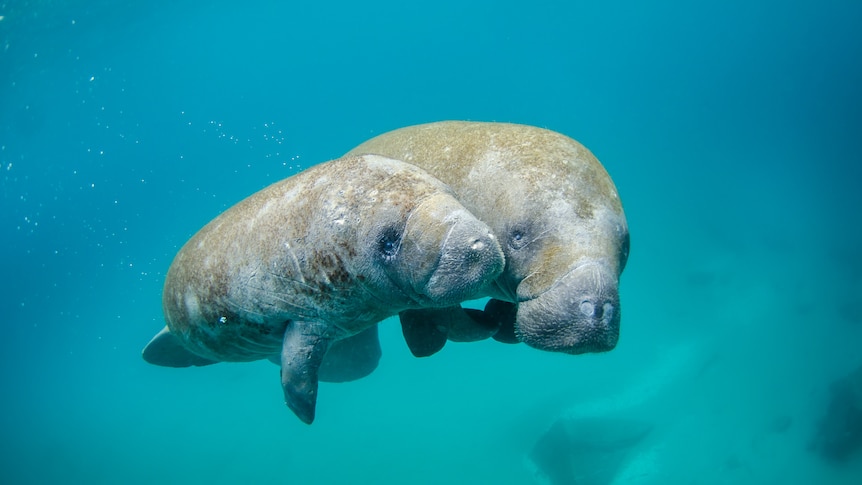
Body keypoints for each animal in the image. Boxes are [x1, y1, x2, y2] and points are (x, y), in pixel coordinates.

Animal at [142, 153, 506, 422]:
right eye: (388, 242)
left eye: (454, 195)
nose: (479, 243)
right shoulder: (306, 314)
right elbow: (298, 369)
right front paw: (303, 413)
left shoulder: (420, 291)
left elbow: (455, 322)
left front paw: (487, 322)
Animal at [348, 121, 632, 356]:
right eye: (518, 237)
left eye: (625, 249)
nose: (596, 309)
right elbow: (447, 317)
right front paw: (485, 324)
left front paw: (500, 322)